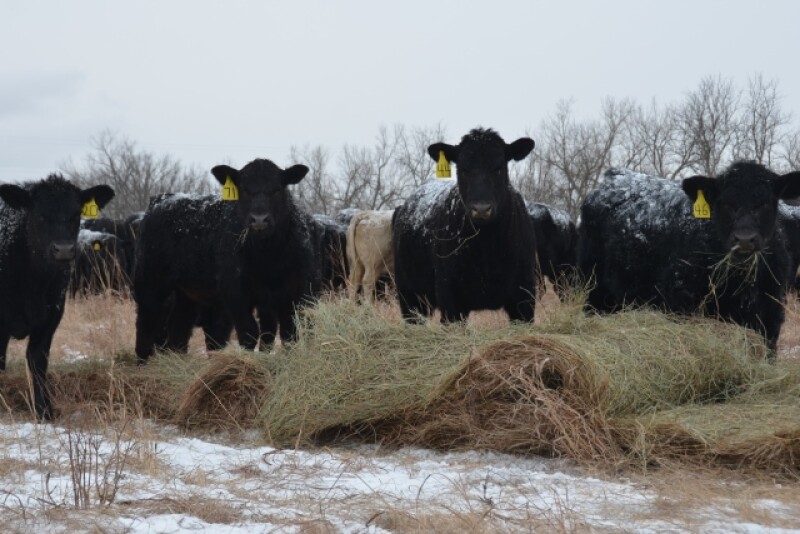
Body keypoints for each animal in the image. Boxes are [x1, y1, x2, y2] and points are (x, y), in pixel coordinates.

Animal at [0, 174, 114, 419]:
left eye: (76, 214)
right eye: (39, 214)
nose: (63, 249)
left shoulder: (50, 317)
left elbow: (38, 362)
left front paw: (44, 411)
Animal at [133, 158, 320, 364]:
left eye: (277, 188)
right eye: (244, 189)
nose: (259, 219)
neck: (267, 257)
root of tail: (162, 199)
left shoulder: (293, 293)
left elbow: (288, 334)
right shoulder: (235, 292)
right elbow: (249, 332)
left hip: (187, 292)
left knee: (179, 327)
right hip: (151, 281)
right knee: (147, 321)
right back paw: (144, 362)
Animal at [392, 127, 537, 323]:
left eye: (499, 168)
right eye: (463, 169)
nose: (481, 209)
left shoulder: (524, 296)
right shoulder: (450, 298)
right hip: (409, 296)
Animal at [578, 163, 800, 358]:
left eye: (765, 202)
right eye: (724, 203)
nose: (744, 239)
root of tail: (614, 175)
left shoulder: (769, 319)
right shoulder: (681, 306)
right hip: (593, 288)